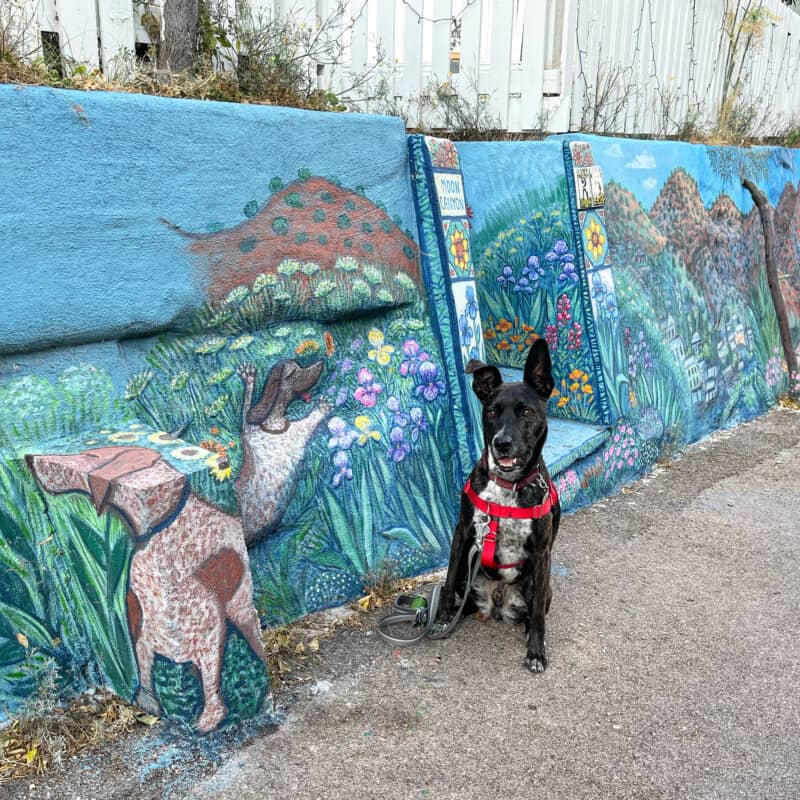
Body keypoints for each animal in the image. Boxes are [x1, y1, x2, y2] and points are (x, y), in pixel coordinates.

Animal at [434, 340, 560, 672]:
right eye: (491, 411)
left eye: (527, 411)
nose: (502, 443)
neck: (508, 485)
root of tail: (497, 604)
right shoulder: (463, 533)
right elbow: (448, 582)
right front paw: (440, 621)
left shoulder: (542, 551)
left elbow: (539, 616)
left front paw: (536, 652)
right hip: (469, 575)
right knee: (461, 595)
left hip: (542, 587)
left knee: (535, 608)